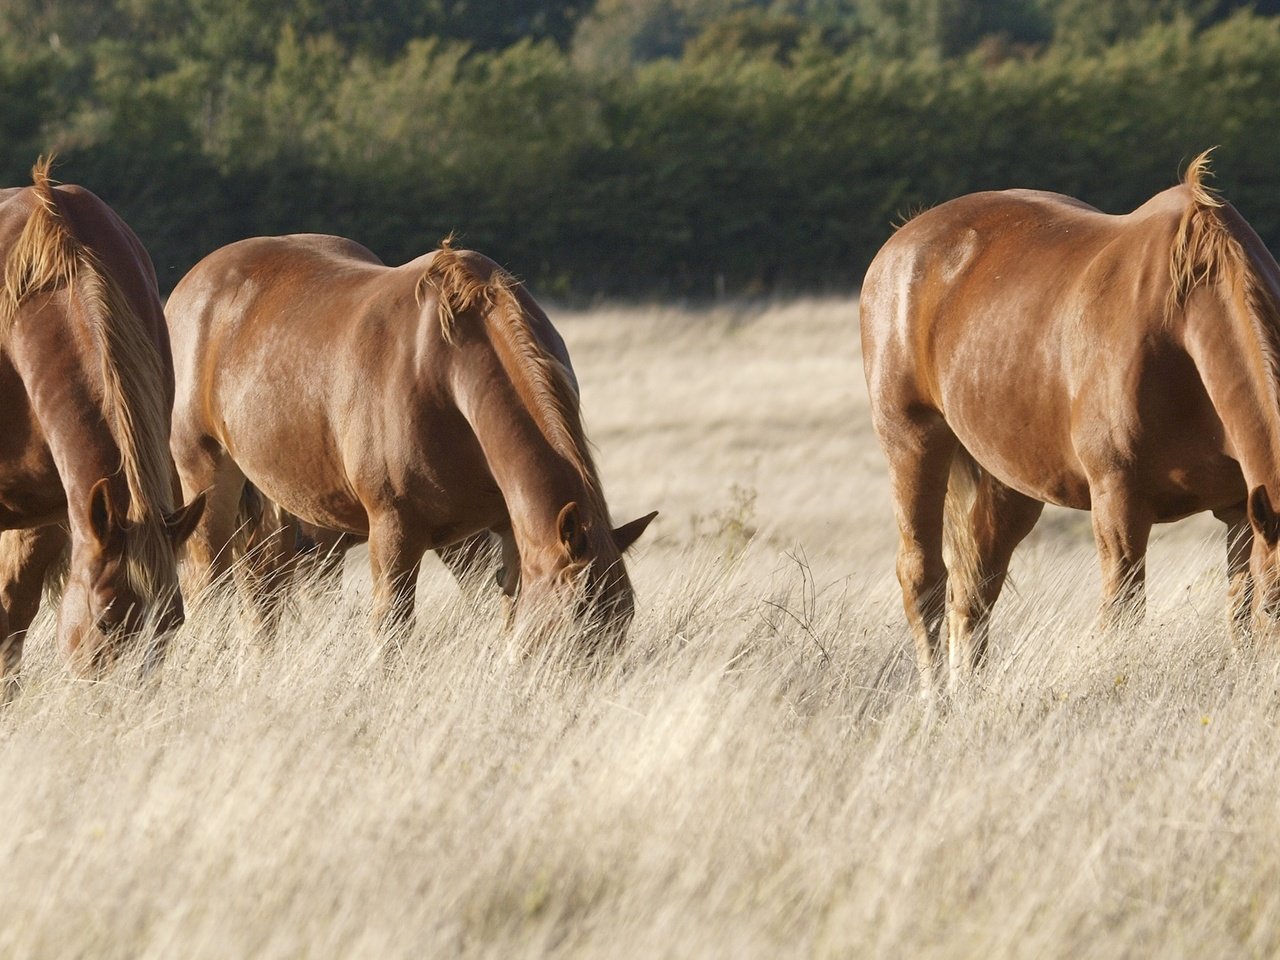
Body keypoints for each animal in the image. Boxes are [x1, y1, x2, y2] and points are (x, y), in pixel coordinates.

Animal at [165, 236, 655, 650]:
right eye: (576, 620)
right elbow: (390, 633)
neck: (448, 370)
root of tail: (192, 284)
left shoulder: (506, 532)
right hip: (208, 483)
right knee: (211, 584)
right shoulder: (394, 530)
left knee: (264, 588)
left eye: (624, 618)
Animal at [860, 150, 1280, 696]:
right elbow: (1122, 620)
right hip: (912, 444)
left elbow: (1237, 620)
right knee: (923, 581)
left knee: (973, 591)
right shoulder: (1119, 505)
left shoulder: (1240, 512)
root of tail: (902, 240)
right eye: (1279, 610)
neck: (1181, 323)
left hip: (1006, 482)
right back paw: (938, 704)